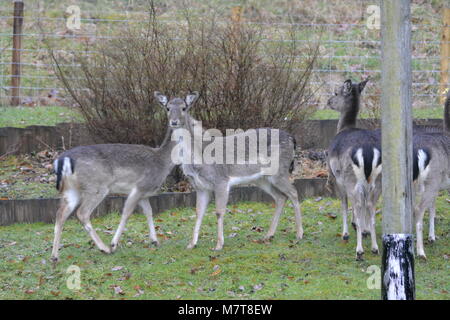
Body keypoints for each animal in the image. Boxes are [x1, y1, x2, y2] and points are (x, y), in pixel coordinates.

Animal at [50, 96, 182, 264]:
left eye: (184, 107)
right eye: (168, 107)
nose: (175, 121)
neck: (163, 162)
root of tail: (63, 160)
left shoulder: (144, 194)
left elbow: (149, 212)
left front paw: (155, 240)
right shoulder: (140, 187)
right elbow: (127, 212)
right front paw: (114, 244)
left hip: (70, 190)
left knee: (60, 214)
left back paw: (54, 256)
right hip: (97, 187)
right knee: (82, 213)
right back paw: (104, 248)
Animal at [153, 90, 304, 250]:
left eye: (183, 108)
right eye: (167, 108)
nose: (174, 122)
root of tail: (292, 138)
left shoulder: (221, 181)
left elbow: (219, 212)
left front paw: (219, 244)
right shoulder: (200, 186)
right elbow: (199, 212)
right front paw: (191, 244)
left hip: (279, 171)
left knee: (293, 192)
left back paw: (299, 234)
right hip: (262, 179)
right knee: (280, 197)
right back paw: (268, 235)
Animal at [326, 78, 382, 260]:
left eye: (336, 92)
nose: (328, 101)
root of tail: (368, 152)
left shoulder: (337, 177)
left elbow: (344, 203)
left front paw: (346, 232)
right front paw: (362, 229)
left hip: (351, 178)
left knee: (357, 203)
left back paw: (359, 250)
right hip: (377, 181)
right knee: (370, 206)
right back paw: (374, 247)